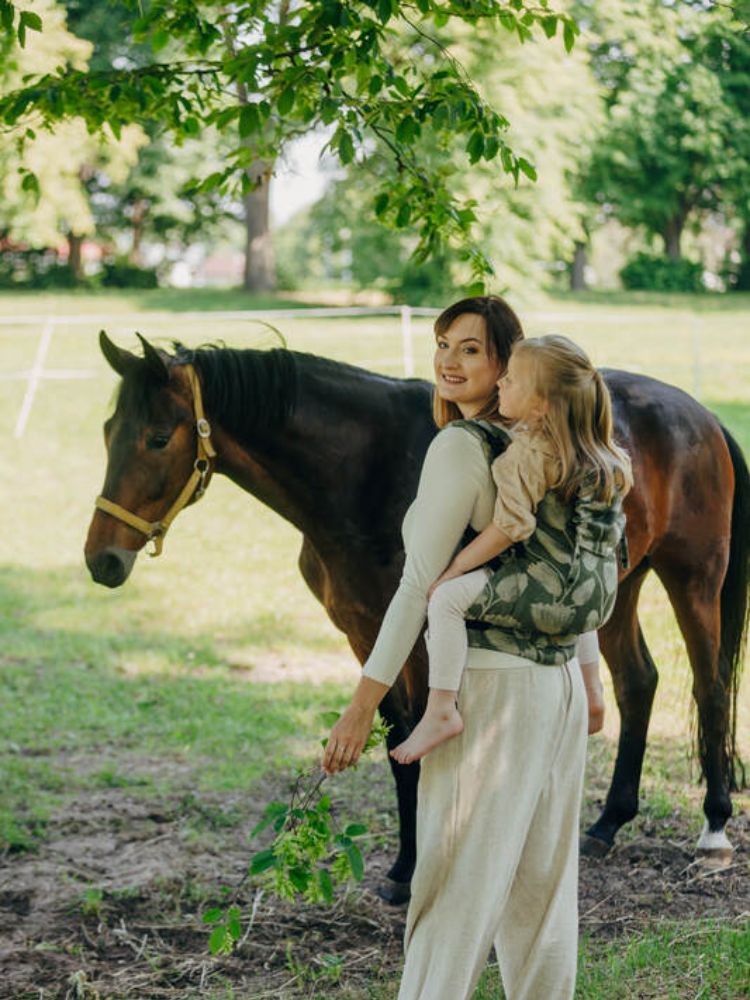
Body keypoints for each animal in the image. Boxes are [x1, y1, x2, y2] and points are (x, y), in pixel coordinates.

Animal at [85, 332, 748, 904]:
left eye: (159, 438)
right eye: (108, 430)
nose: (102, 560)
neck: (368, 470)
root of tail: (702, 416)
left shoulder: (423, 634)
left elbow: (423, 741)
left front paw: (421, 868)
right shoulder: (367, 631)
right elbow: (398, 744)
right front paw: (404, 867)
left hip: (693, 577)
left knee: (710, 688)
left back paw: (714, 830)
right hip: (616, 588)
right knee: (639, 682)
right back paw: (608, 823)